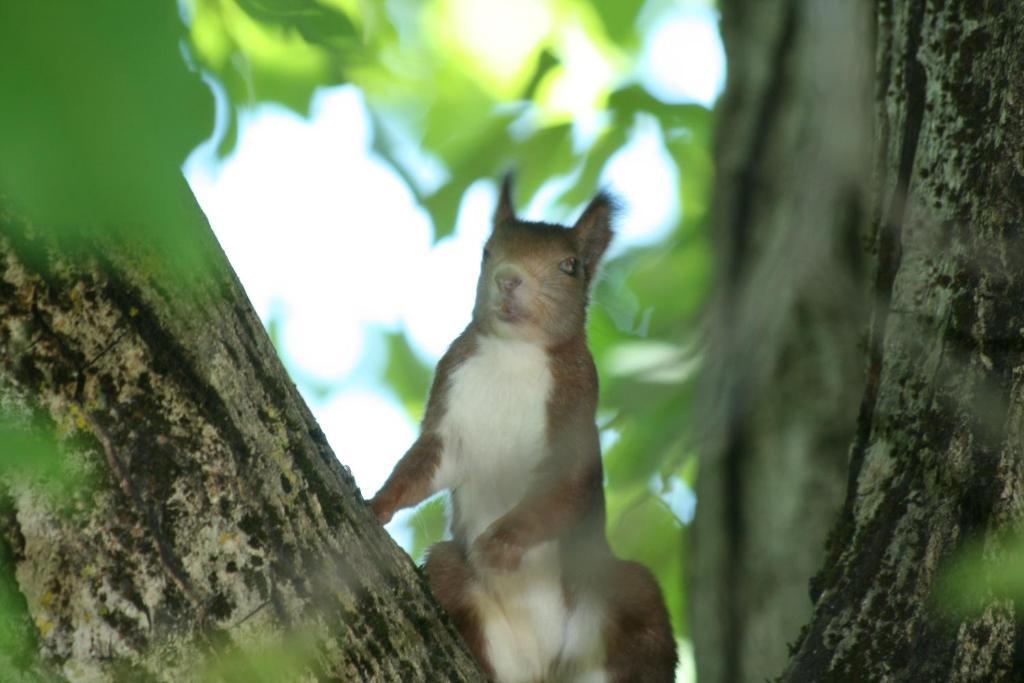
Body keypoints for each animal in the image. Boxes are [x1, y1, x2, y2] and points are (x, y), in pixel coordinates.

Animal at [370, 178, 679, 683]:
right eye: (486, 250)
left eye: (571, 266)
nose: (509, 278)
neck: (513, 353)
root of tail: (543, 670)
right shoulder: (450, 411)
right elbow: (423, 466)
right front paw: (379, 502)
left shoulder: (575, 422)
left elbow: (562, 492)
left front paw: (501, 543)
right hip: (457, 582)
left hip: (619, 596)